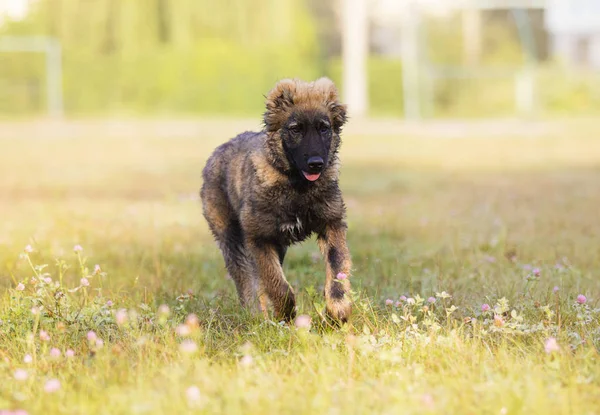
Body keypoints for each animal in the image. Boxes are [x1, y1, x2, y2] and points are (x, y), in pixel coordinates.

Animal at [200, 78, 352, 324]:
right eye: (295, 129)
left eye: (324, 128)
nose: (316, 164)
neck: (298, 187)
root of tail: (218, 150)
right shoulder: (259, 238)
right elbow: (277, 284)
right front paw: (285, 315)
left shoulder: (332, 224)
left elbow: (337, 268)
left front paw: (338, 310)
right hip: (232, 240)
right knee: (248, 283)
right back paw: (256, 317)